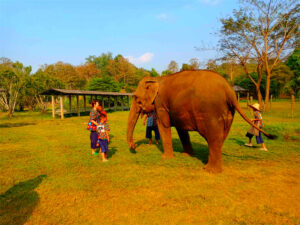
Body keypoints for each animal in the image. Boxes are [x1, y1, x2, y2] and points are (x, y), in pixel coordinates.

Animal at [126, 70, 274, 172]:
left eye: (137, 99)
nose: (133, 147)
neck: (156, 79)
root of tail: (230, 92)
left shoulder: (161, 104)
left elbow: (164, 126)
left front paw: (165, 158)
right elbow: (182, 130)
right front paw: (187, 155)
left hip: (210, 112)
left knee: (213, 137)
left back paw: (209, 170)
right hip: (228, 114)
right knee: (220, 138)